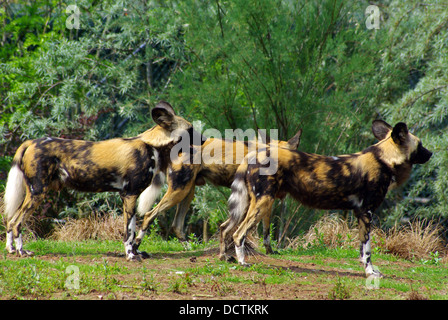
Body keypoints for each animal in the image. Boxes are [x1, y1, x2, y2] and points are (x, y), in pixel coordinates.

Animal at [1, 101, 205, 262]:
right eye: (191, 130)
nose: (204, 140)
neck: (153, 145)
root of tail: (31, 142)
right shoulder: (130, 195)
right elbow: (128, 232)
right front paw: (131, 255)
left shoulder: (128, 196)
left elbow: (132, 229)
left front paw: (135, 253)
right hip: (38, 192)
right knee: (17, 222)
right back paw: (22, 251)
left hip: (33, 193)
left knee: (11, 220)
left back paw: (10, 249)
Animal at [220, 120, 430, 278]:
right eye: (420, 145)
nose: (431, 153)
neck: (384, 158)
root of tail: (253, 154)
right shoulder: (367, 212)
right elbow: (368, 250)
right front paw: (370, 272)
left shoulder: (359, 214)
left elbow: (362, 251)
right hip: (264, 202)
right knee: (239, 233)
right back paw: (243, 262)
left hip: (248, 204)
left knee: (225, 228)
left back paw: (225, 258)